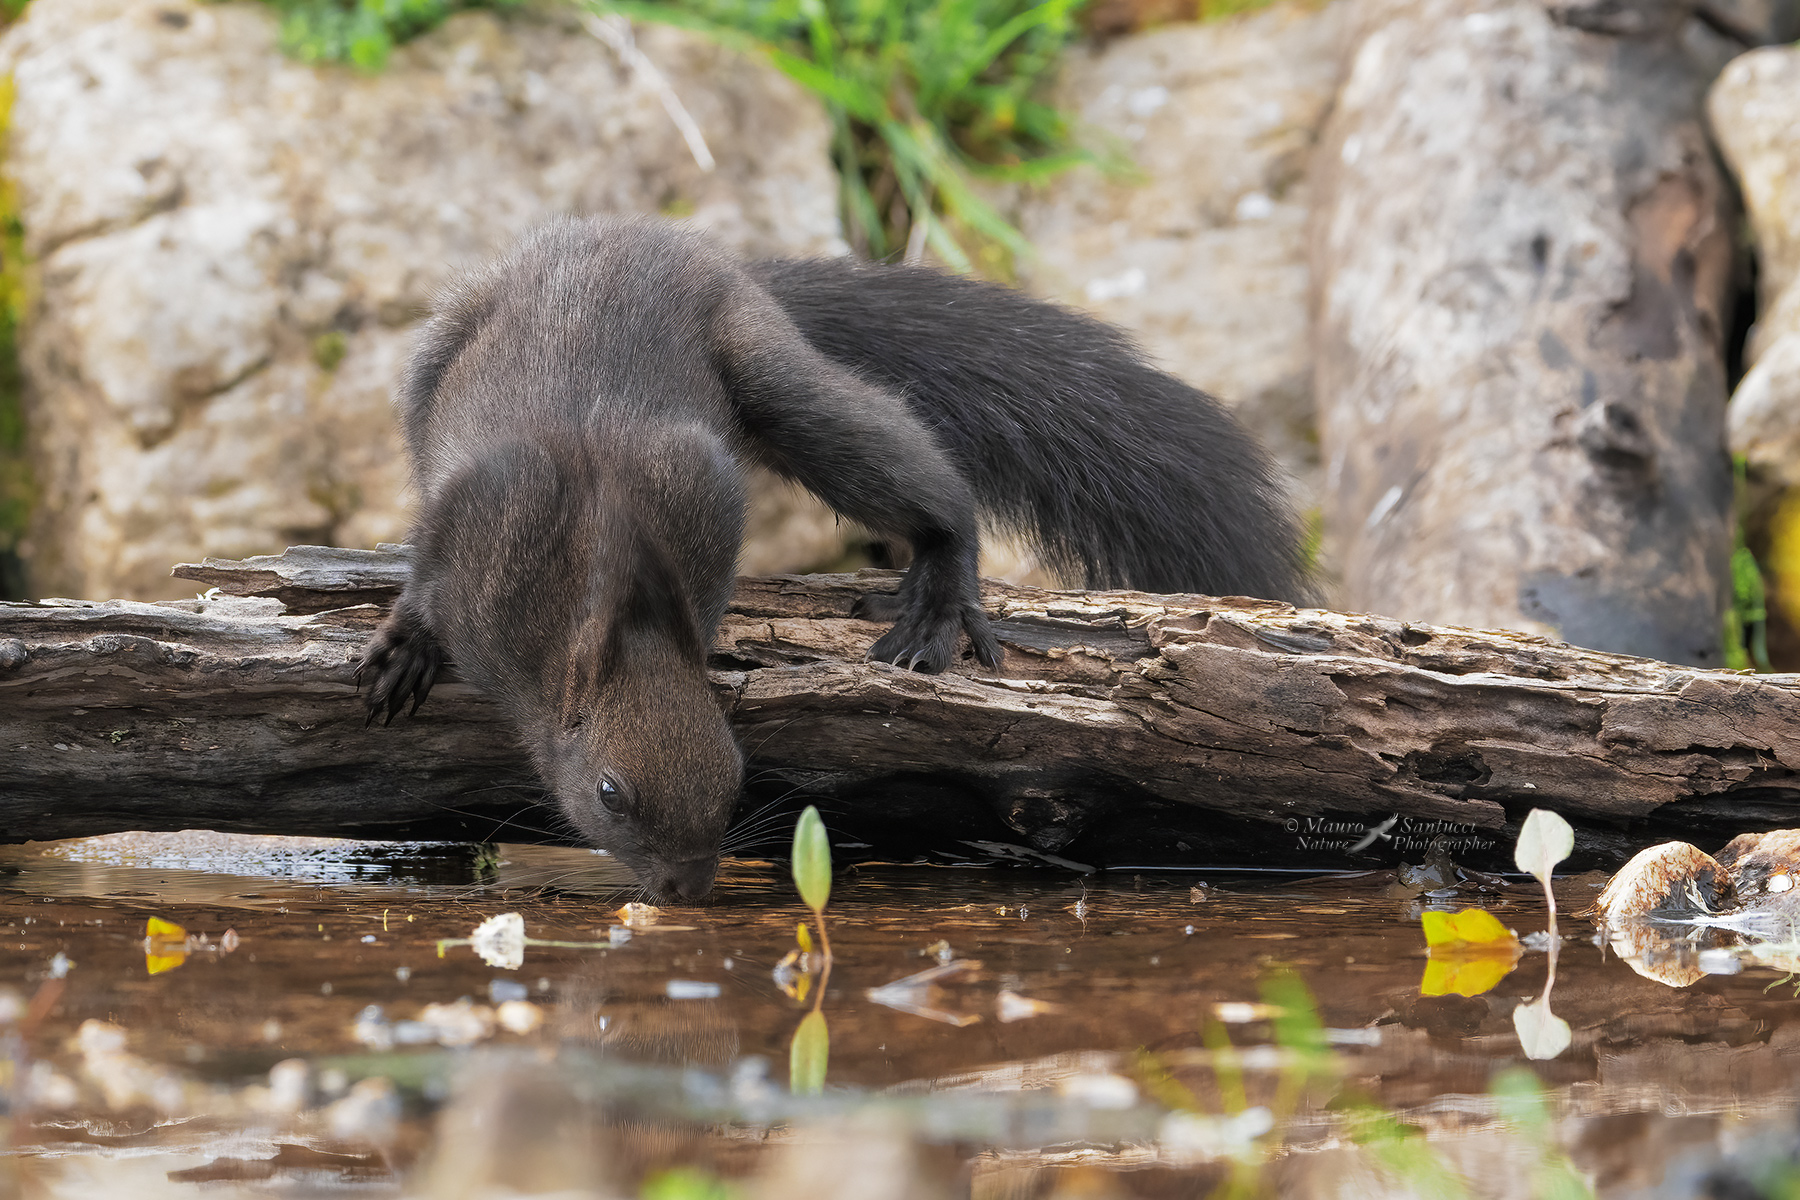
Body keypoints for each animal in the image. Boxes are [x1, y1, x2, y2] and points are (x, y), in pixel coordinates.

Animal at [358, 215, 1307, 902]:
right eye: (609, 793)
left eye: (738, 780)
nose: (686, 889)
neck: (605, 605)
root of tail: (698, 251)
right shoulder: (475, 530)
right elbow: (424, 585)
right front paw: (403, 649)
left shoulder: (696, 497)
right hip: (439, 352)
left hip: (776, 384)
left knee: (933, 490)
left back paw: (942, 590)